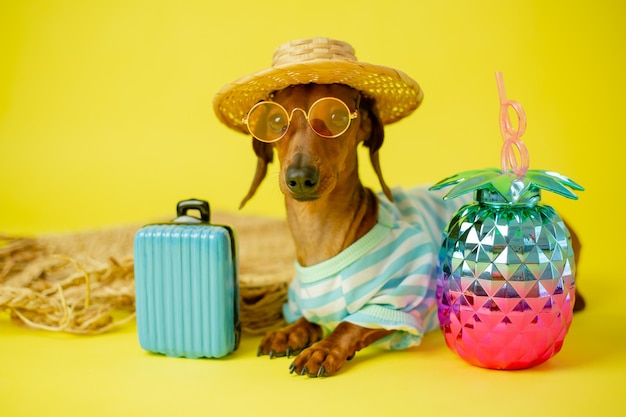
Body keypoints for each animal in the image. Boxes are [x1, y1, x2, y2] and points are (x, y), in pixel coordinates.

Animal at [238, 82, 580, 376]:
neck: (321, 240)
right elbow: (308, 319)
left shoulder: (397, 304)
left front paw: (324, 349)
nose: (300, 177)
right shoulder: (301, 302)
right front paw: (289, 332)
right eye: (276, 120)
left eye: (337, 117)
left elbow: (348, 324)